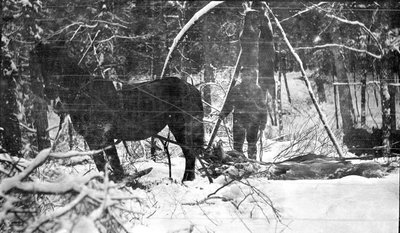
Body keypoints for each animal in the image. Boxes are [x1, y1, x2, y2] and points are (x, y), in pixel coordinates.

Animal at [31, 41, 205, 181]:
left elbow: (115, 164)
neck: (86, 95)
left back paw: (187, 181)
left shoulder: (105, 137)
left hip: (182, 128)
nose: (50, 93)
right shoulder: (91, 139)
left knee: (190, 154)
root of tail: (192, 88)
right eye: (42, 65)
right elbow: (101, 165)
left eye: (59, 64)